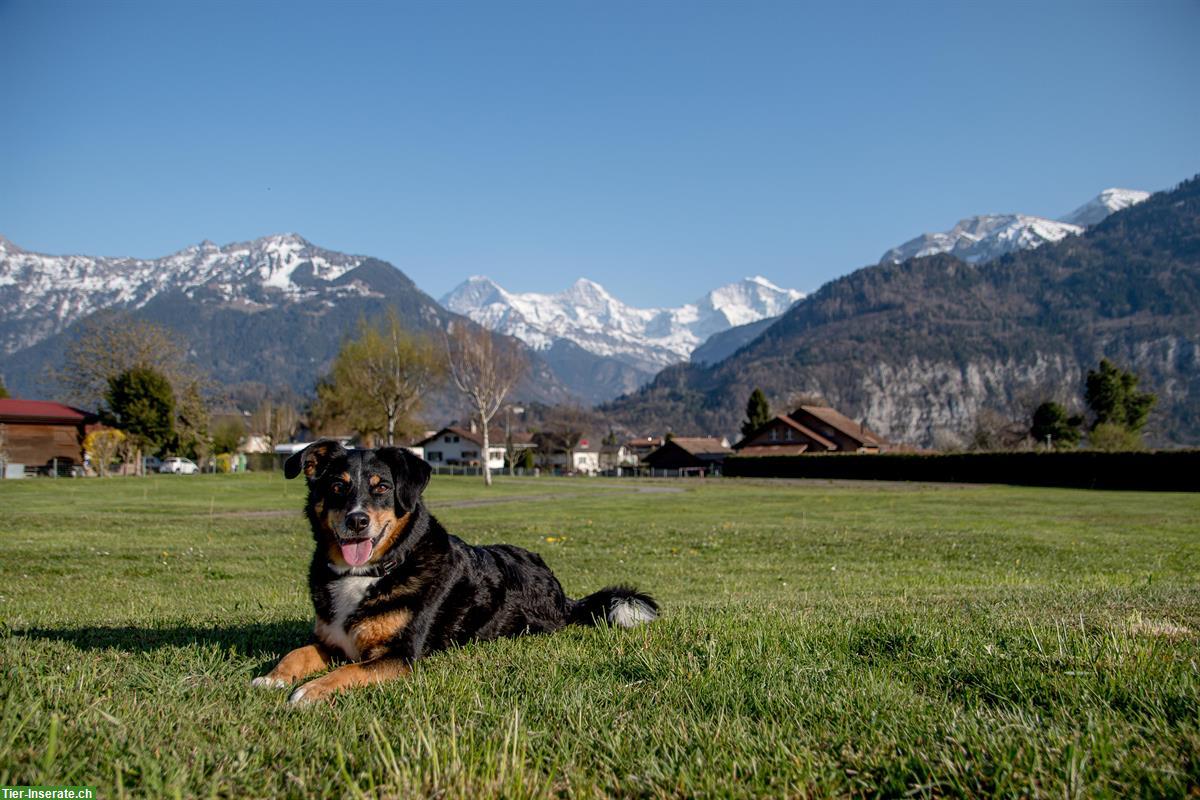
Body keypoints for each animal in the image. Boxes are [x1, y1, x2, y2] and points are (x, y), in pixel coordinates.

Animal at [253, 438, 662, 705]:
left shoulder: (400, 655)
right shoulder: (332, 640)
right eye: (338, 486)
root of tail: (562, 593)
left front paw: (311, 690)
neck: (371, 572)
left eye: (382, 487)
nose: (357, 521)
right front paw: (272, 678)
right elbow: (297, 652)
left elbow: (349, 672)